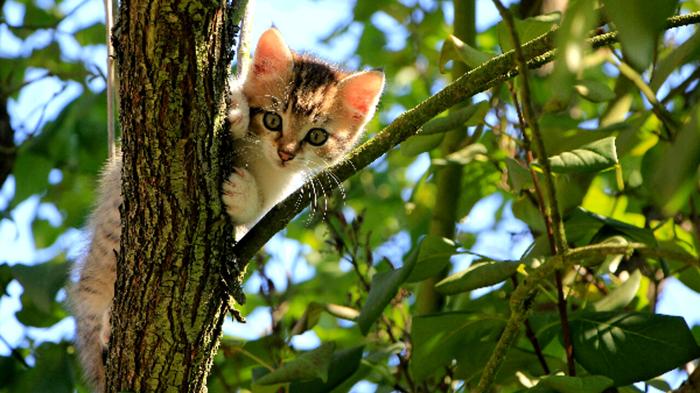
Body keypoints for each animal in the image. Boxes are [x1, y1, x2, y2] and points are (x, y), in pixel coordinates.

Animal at [69, 26, 386, 388]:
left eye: (317, 136)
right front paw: (235, 109)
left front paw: (242, 193)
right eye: (273, 119)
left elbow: (257, 210)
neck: (260, 158)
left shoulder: (276, 196)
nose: (286, 153)